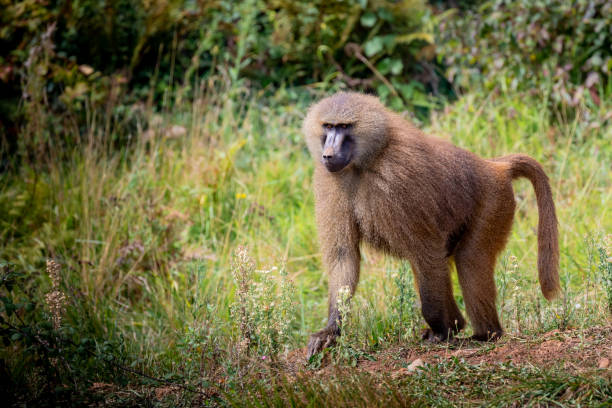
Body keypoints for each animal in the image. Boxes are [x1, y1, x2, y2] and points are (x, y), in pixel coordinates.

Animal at [302, 91, 560, 356]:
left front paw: (441, 331)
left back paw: (484, 334)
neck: (366, 160)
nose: (328, 154)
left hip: (494, 202)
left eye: (344, 127)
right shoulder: (331, 181)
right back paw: (460, 325)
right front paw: (329, 332)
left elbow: (425, 250)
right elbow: (343, 255)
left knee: (467, 259)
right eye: (328, 126)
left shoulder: (399, 180)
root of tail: (494, 166)